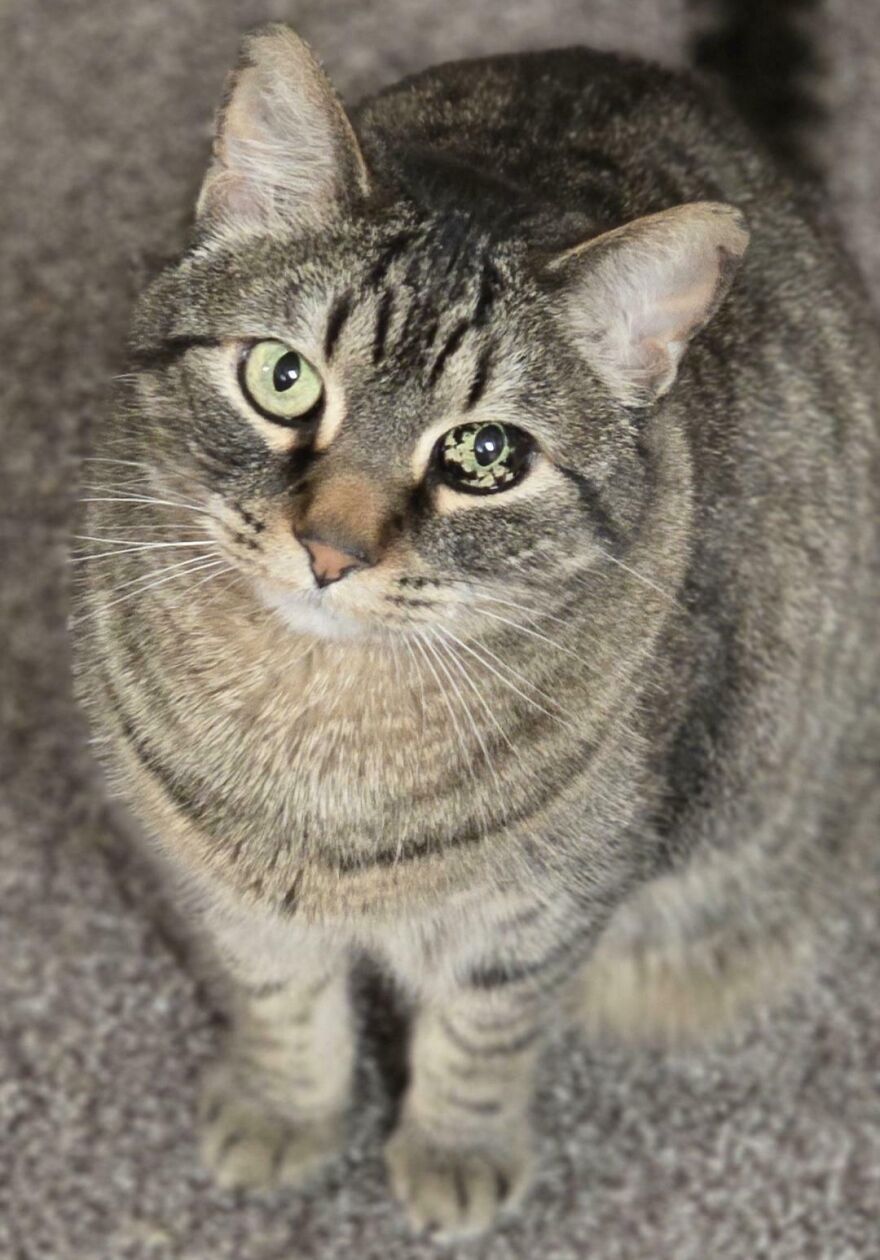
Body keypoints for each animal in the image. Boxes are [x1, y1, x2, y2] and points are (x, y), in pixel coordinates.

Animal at [71, 24, 872, 1234]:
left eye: (484, 455)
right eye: (282, 376)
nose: (331, 551)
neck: (319, 716)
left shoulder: (538, 917)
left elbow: (481, 1038)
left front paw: (454, 1150)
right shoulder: (224, 881)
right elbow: (279, 998)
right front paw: (283, 1110)